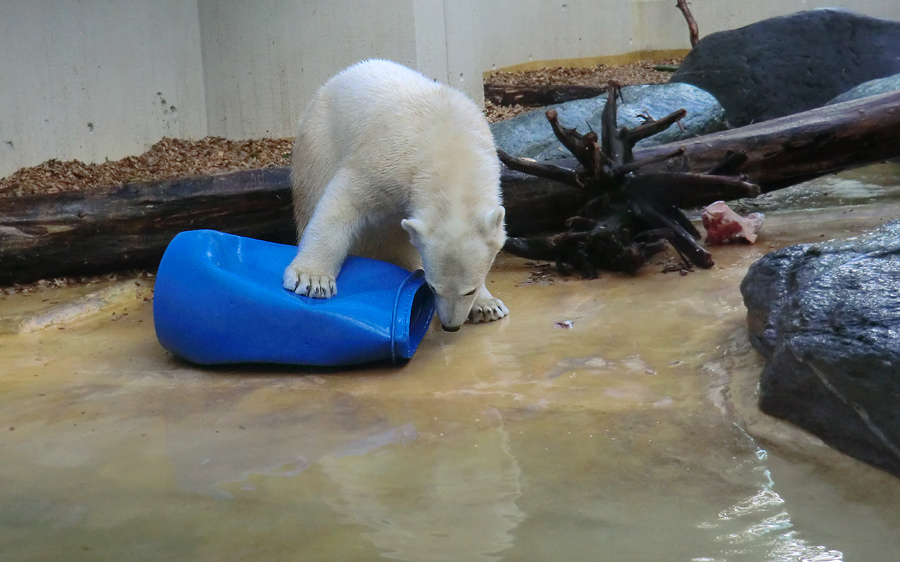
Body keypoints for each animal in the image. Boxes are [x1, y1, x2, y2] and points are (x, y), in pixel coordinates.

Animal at [284, 59, 506, 330]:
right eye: (433, 287)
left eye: (469, 290)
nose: (450, 325)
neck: (451, 146)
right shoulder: (390, 160)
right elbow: (344, 200)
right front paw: (312, 279)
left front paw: (487, 306)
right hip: (319, 142)